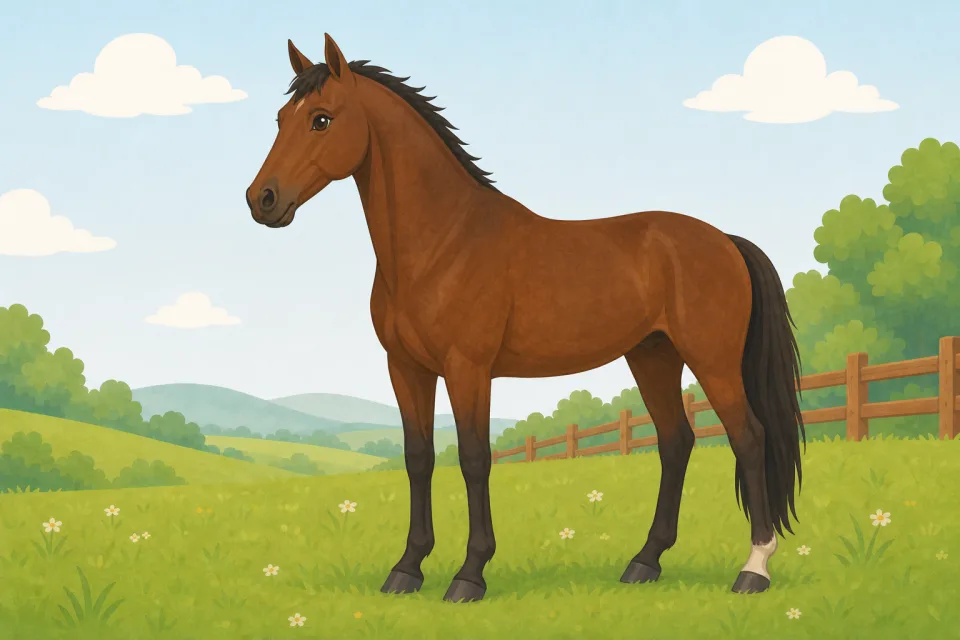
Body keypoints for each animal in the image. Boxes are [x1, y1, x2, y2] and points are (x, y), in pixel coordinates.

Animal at [245, 34, 806, 604]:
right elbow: (418, 458)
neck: (444, 241)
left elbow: (474, 459)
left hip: (712, 361)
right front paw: (406, 569)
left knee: (748, 438)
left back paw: (753, 569)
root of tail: (725, 241)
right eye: (280, 118)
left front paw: (469, 575)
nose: (261, 199)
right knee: (676, 443)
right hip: (653, 357)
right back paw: (644, 562)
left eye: (321, 119)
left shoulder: (468, 369)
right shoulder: (406, 368)